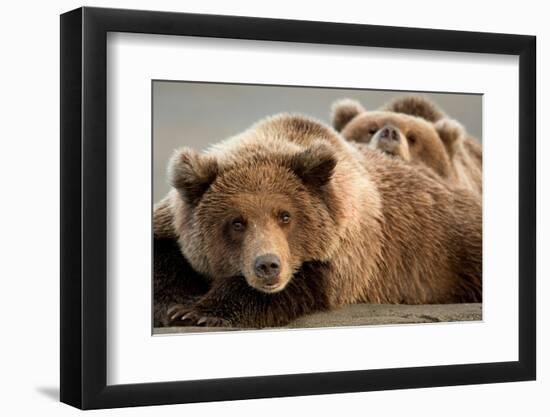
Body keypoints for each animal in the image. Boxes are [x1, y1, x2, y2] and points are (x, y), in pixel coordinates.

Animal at [154, 114, 484, 328]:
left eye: (285, 215)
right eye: (236, 222)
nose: (268, 265)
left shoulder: (348, 246)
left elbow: (305, 282)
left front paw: (199, 311)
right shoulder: (173, 223)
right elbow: (164, 256)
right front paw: (174, 306)